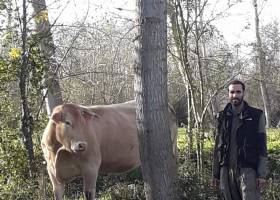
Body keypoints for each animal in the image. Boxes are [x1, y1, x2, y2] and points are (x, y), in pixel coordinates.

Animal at [41, 100, 177, 200]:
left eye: (84, 124)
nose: (82, 145)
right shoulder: (51, 171)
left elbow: (88, 194)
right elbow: (57, 195)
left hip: (173, 146)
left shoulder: (91, 167)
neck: (59, 151)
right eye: (67, 122)